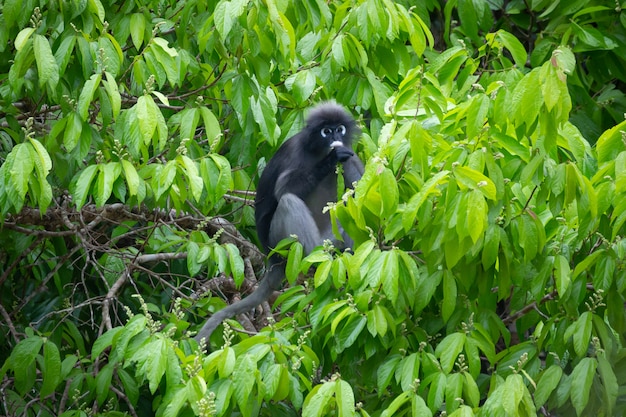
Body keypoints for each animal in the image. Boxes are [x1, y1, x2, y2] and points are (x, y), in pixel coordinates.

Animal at [193, 101, 364, 342]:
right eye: (326, 131)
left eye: (339, 129)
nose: (335, 138)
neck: (318, 150)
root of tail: (273, 261)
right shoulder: (294, 151)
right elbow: (283, 189)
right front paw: (332, 158)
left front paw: (341, 156)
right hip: (281, 244)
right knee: (288, 201)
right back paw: (315, 258)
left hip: (330, 235)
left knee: (348, 206)